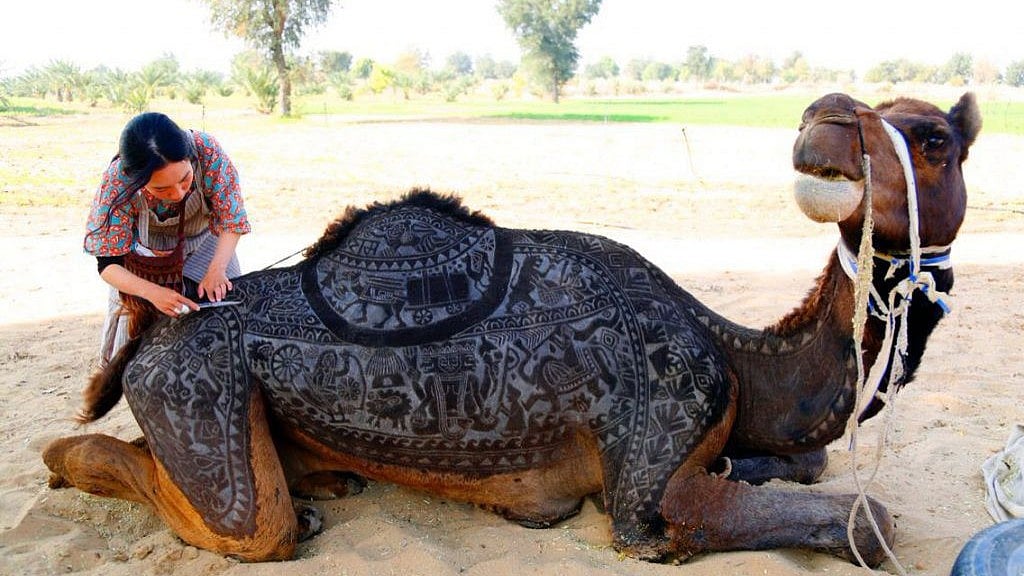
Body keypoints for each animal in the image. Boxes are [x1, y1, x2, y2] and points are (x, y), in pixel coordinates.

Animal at [43, 92, 981, 566]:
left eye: (935, 134)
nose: (825, 119)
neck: (741, 358)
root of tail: (157, 322)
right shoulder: (651, 492)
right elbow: (867, 520)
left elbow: (811, 461)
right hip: (192, 396)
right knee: (241, 517)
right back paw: (62, 462)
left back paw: (329, 486)